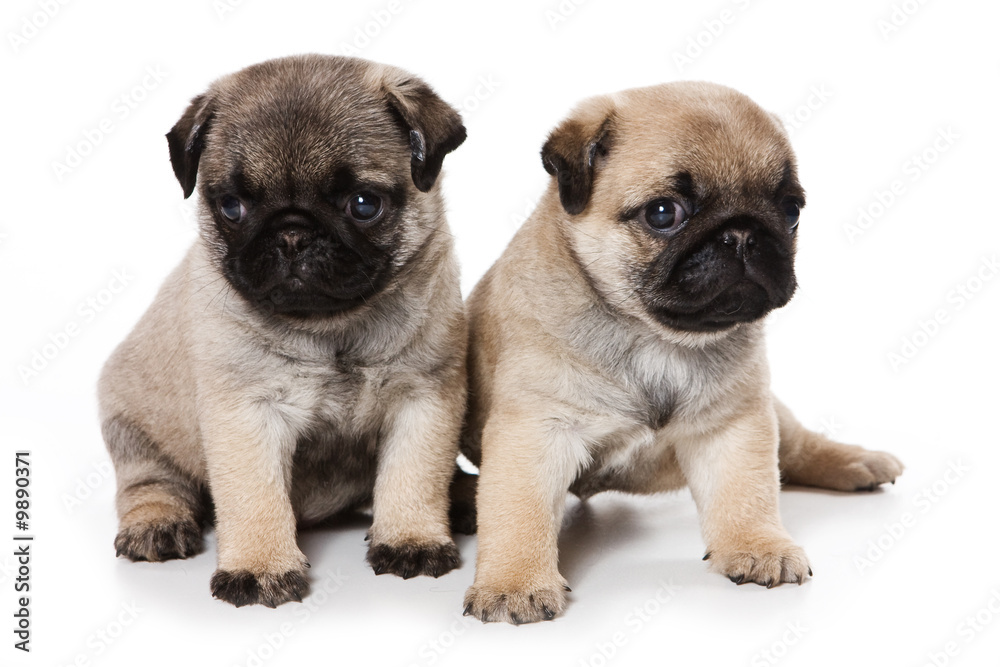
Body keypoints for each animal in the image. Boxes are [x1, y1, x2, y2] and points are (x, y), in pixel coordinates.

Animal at [97, 56, 468, 612]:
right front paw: (260, 567)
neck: (333, 328)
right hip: (134, 425)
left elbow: (413, 476)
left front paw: (412, 539)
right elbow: (255, 497)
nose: (292, 233)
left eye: (364, 204)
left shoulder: (424, 400)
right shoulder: (246, 415)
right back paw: (158, 523)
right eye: (232, 207)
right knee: (149, 483)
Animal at [460, 81, 908, 624]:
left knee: (797, 447)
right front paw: (514, 583)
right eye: (662, 213)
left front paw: (757, 546)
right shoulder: (535, 432)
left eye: (791, 211)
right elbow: (518, 513)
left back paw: (856, 462)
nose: (742, 233)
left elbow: (746, 493)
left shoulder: (734, 424)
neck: (655, 337)